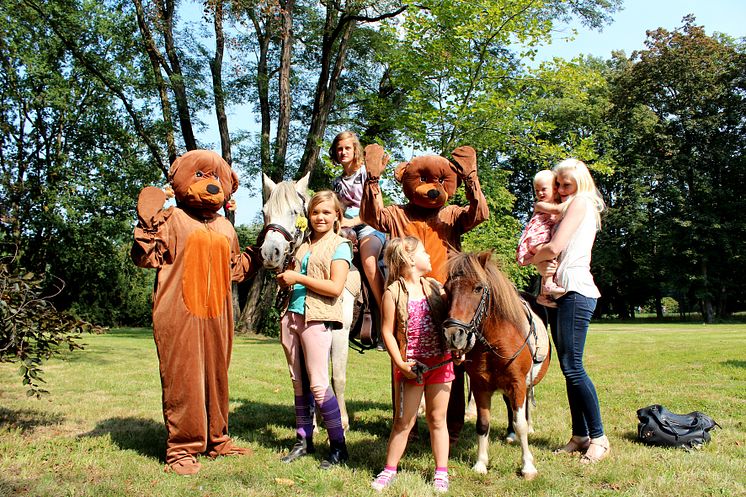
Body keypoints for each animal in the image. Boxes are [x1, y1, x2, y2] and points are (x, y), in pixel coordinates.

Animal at [258, 174, 360, 430]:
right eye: (265, 212)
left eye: (295, 211)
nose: (270, 253)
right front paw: (317, 421)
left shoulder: (340, 332)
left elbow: (337, 377)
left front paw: (342, 422)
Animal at [442, 254, 548, 478]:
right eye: (448, 288)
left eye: (478, 288)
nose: (453, 335)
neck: (497, 341)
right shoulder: (480, 386)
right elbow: (483, 424)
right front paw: (481, 463)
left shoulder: (518, 384)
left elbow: (521, 423)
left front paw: (527, 466)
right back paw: (510, 434)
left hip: (525, 385)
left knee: (525, 409)